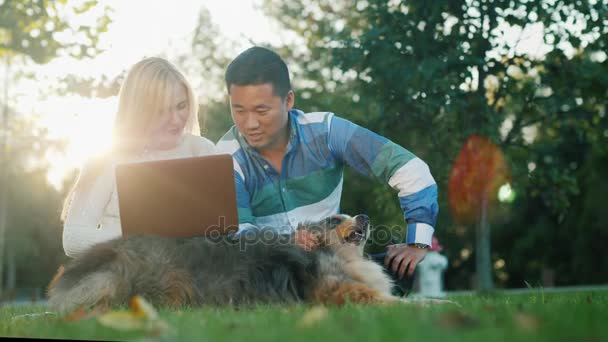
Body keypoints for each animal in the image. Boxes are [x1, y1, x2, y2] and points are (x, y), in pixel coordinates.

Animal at [46, 214, 442, 316]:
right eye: (335, 219)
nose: (365, 215)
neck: (333, 255)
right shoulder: (343, 294)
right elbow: (395, 302)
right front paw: (437, 305)